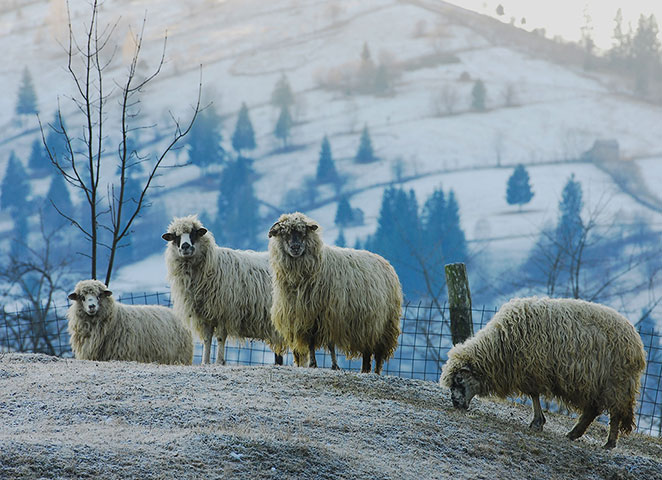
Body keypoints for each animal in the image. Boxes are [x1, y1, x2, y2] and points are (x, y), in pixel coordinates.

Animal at [162, 215, 286, 365]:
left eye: (194, 233)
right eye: (175, 237)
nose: (185, 246)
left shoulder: (224, 312)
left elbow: (220, 338)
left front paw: (219, 361)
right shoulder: (204, 315)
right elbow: (207, 339)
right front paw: (205, 362)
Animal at [268, 212, 402, 374]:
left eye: (303, 232)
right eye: (284, 233)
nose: (295, 247)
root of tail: (385, 262)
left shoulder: (331, 314)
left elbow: (331, 344)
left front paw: (334, 365)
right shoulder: (307, 316)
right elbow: (311, 342)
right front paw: (313, 363)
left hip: (385, 324)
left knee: (378, 353)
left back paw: (375, 372)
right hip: (367, 323)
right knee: (367, 351)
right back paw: (364, 370)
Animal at [440, 296, 646, 449]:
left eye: (459, 379)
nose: (455, 403)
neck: (499, 346)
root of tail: (637, 342)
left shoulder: (533, 369)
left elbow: (534, 395)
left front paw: (537, 422)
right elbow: (535, 396)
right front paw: (539, 422)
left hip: (616, 382)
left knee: (615, 412)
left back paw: (609, 443)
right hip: (595, 384)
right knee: (593, 410)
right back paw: (574, 433)